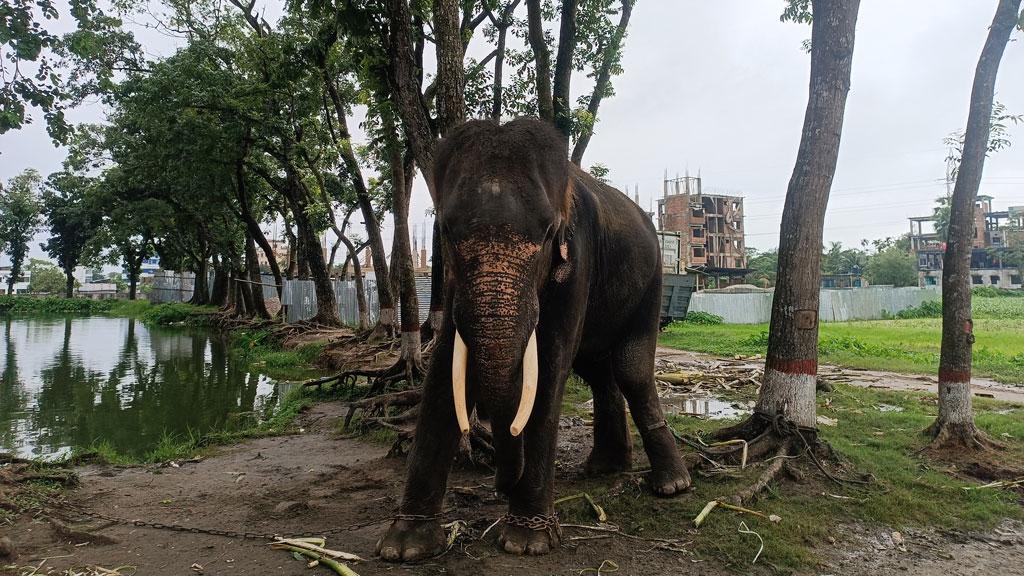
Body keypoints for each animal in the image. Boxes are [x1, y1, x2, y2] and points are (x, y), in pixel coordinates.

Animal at [376, 117, 688, 561]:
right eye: (448, 232)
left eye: (547, 234)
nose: (498, 484)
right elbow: (444, 373)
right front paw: (404, 547)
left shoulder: (577, 258)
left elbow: (549, 365)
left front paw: (525, 543)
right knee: (598, 371)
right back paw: (603, 468)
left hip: (652, 283)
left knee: (631, 369)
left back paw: (671, 485)